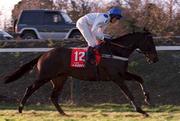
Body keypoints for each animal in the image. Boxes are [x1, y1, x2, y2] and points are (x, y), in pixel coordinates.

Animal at [2, 31, 158, 116]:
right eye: (150, 43)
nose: (155, 58)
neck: (116, 51)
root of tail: (43, 54)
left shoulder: (123, 74)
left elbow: (140, 78)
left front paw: (147, 98)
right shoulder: (116, 77)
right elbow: (129, 93)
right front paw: (141, 110)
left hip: (60, 78)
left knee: (53, 96)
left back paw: (64, 113)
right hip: (44, 76)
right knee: (30, 88)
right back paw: (20, 109)